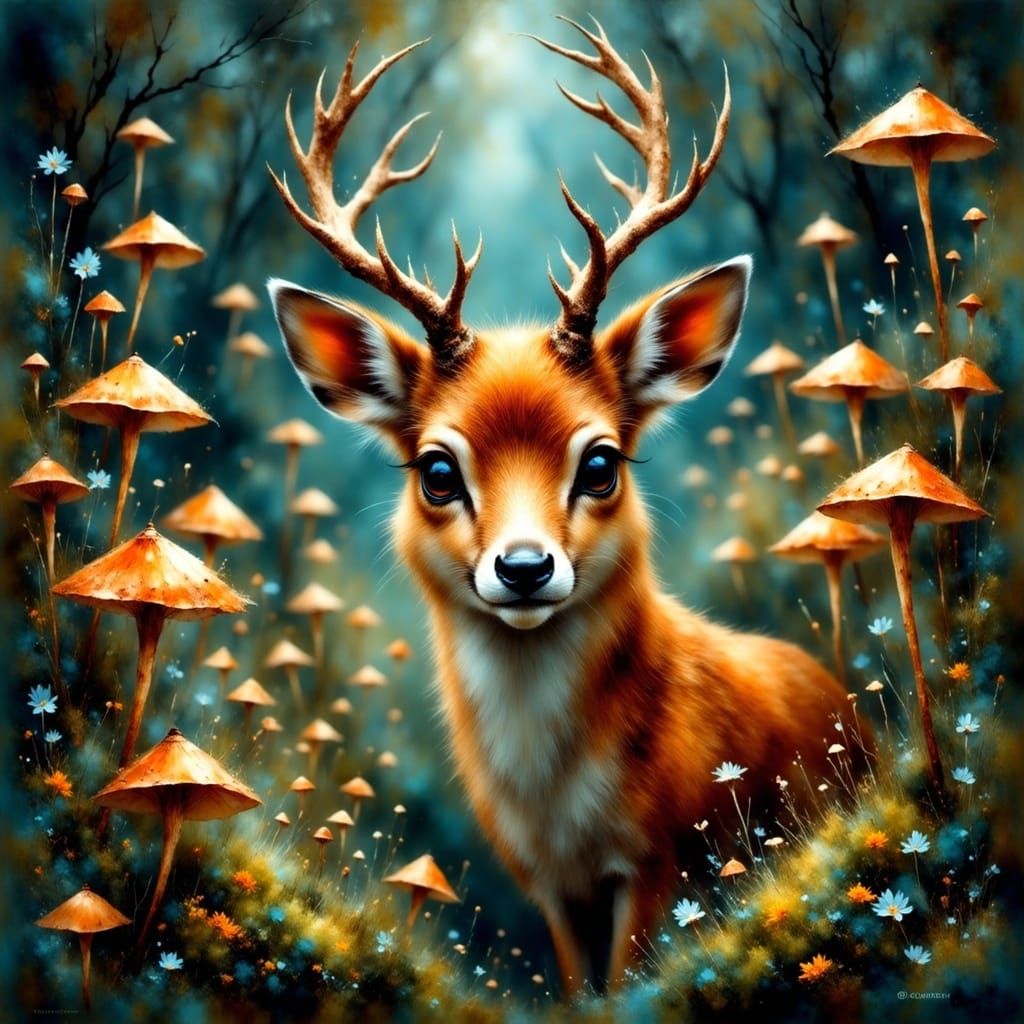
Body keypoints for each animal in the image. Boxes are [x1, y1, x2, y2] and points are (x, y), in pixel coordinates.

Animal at [267, 19, 867, 996]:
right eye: (437, 469)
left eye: (601, 462)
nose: (522, 566)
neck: (557, 805)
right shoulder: (548, 886)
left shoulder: (663, 857)